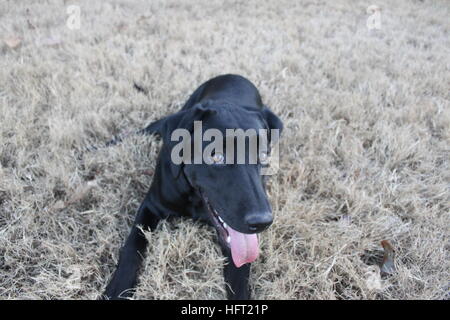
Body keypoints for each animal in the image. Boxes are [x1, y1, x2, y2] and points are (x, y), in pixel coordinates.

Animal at [103, 74, 284, 298]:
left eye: (264, 155)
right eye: (216, 156)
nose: (262, 222)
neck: (195, 199)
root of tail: (233, 75)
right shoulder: (151, 205)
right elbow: (133, 243)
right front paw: (118, 286)